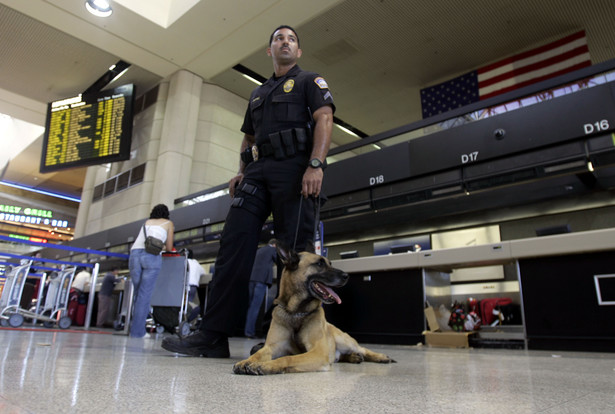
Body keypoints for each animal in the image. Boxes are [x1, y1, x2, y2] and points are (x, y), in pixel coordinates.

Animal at [233, 246, 398, 376]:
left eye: (330, 263)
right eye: (319, 264)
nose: (347, 276)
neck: (296, 312)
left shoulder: (317, 352)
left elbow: (287, 358)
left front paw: (266, 365)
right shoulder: (272, 347)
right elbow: (258, 353)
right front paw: (246, 361)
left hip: (345, 341)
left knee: (363, 349)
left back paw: (380, 357)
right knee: (343, 356)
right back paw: (353, 357)